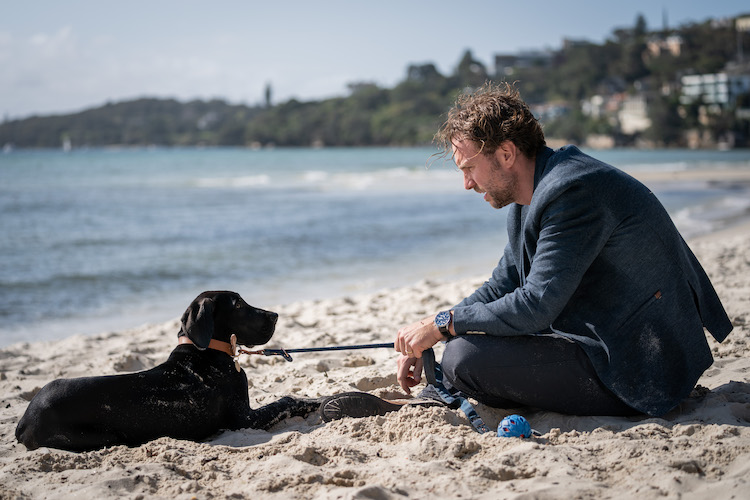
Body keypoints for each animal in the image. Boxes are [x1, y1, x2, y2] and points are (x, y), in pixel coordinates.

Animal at [14, 292, 320, 452]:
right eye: (239, 305)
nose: (275, 316)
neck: (206, 351)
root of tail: (24, 420)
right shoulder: (245, 419)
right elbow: (286, 400)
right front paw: (315, 400)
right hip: (102, 437)